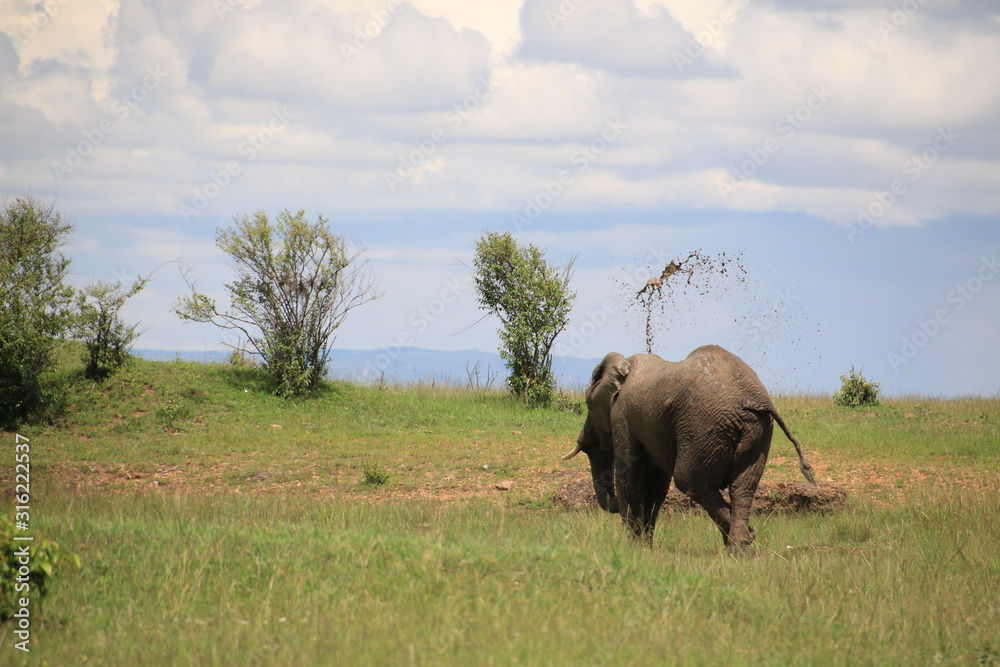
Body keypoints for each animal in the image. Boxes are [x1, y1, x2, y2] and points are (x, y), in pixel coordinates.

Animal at [562, 345, 816, 551]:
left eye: (588, 405)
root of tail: (755, 399)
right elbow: (655, 486)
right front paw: (645, 546)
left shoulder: (622, 416)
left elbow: (629, 477)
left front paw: (633, 548)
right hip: (757, 430)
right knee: (742, 487)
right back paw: (741, 547)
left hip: (704, 425)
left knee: (691, 481)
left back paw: (741, 543)